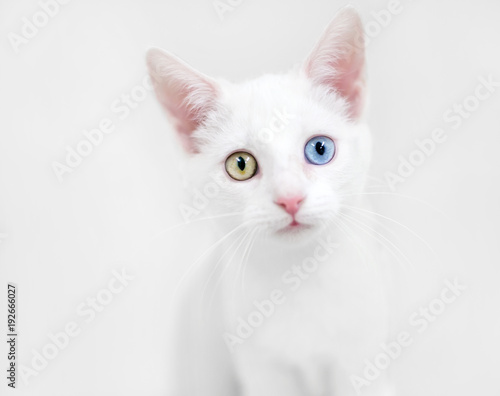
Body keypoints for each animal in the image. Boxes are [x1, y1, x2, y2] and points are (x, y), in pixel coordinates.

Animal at [147, 6, 394, 396]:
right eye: (241, 164)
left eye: (319, 149)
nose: (290, 198)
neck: (300, 278)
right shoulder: (260, 367)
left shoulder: (360, 358)